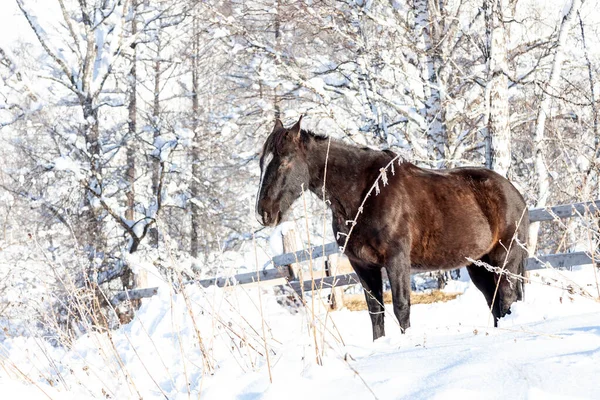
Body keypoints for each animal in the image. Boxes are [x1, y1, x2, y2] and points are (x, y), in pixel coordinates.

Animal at [255, 117, 528, 340]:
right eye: (261, 163)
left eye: (286, 162)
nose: (264, 212)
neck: (365, 193)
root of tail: (516, 195)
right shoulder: (362, 264)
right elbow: (376, 310)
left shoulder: (396, 260)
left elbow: (401, 306)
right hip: (479, 265)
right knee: (495, 302)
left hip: (505, 260)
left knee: (506, 297)